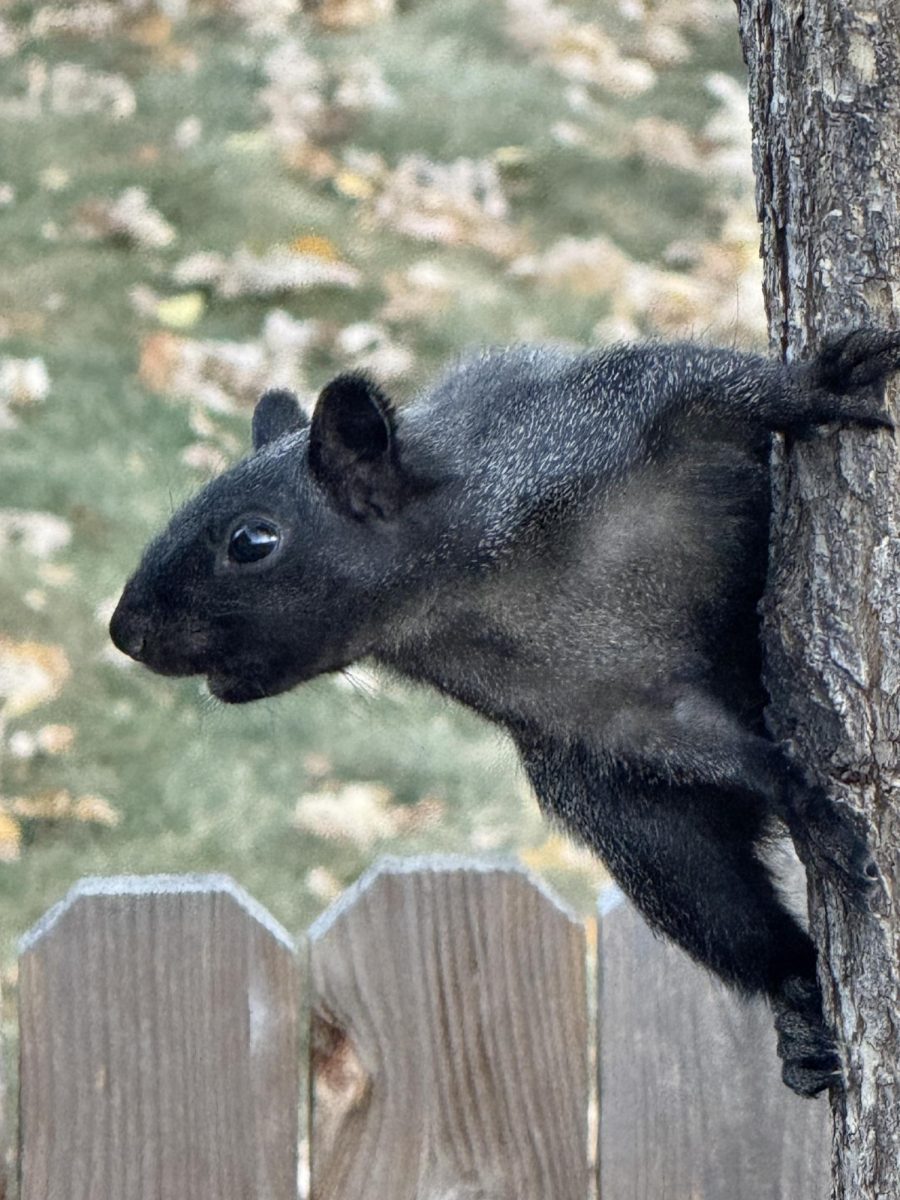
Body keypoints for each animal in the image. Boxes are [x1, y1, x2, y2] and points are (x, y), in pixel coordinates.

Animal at [111, 329, 900, 1097]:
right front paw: (799, 796)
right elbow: (698, 745)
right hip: (646, 840)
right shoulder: (601, 705)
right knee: (738, 925)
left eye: (252, 541)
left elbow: (722, 383)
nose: (125, 632)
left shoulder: (610, 418)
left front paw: (819, 384)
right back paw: (802, 1024)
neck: (463, 589)